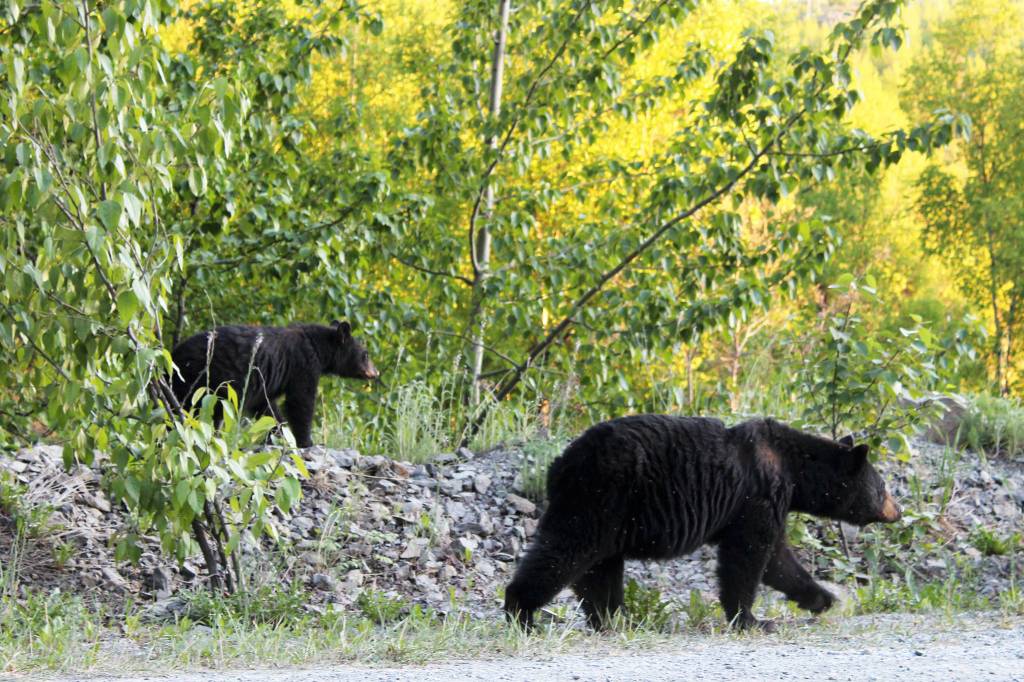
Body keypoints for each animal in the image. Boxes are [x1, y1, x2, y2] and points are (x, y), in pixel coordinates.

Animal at [171, 320, 378, 448]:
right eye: (366, 354)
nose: (376, 373)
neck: (318, 347)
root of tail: (173, 355)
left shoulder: (265, 383)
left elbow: (266, 406)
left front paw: (279, 433)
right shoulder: (303, 365)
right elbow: (300, 401)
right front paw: (307, 441)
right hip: (202, 380)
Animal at [503, 414, 902, 631]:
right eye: (883, 487)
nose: (896, 511)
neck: (794, 468)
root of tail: (559, 465)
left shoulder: (768, 504)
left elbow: (778, 560)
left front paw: (822, 599)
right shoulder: (759, 497)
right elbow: (748, 557)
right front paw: (752, 619)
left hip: (608, 516)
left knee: (599, 568)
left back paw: (614, 620)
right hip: (599, 499)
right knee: (565, 552)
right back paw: (521, 612)